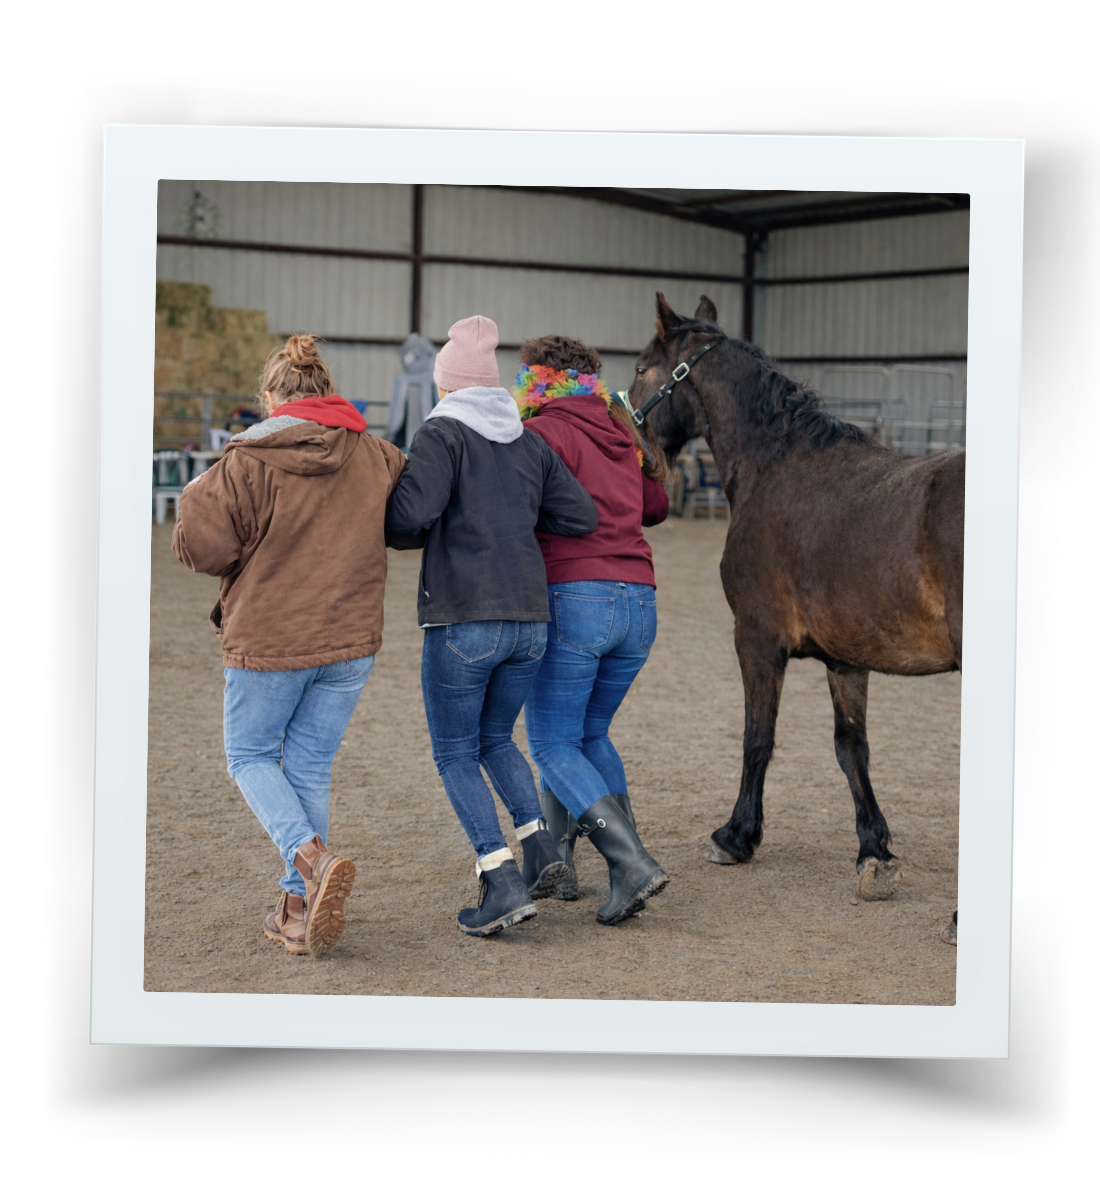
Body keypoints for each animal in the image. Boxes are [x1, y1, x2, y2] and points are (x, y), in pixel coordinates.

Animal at [629, 293, 963, 922]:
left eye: (641, 368)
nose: (642, 454)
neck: (777, 467)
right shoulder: (846, 658)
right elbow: (851, 749)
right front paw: (874, 852)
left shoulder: (756, 640)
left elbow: (757, 736)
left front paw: (736, 837)